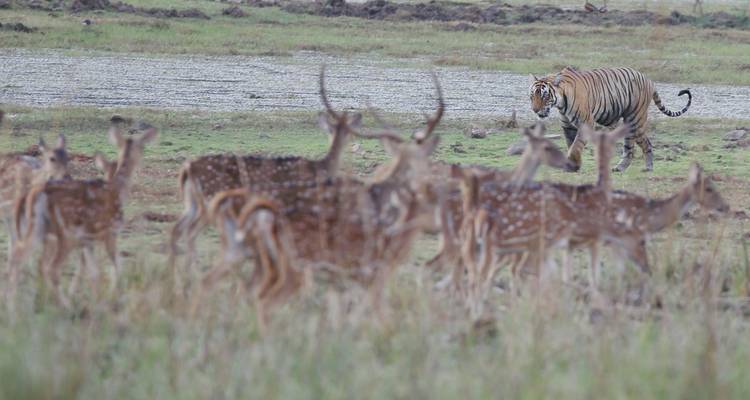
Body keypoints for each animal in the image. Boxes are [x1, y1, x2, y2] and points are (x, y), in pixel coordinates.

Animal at [528, 67, 691, 172]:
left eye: (544, 96)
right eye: (532, 96)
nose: (535, 110)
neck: (561, 103)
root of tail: (649, 80)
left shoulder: (586, 123)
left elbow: (575, 146)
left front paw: (573, 164)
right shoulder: (567, 126)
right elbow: (571, 144)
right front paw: (572, 165)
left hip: (635, 119)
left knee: (642, 144)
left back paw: (647, 168)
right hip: (630, 124)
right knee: (634, 146)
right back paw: (621, 168)